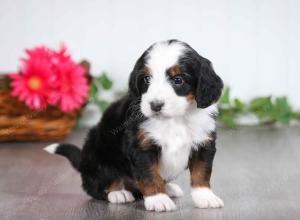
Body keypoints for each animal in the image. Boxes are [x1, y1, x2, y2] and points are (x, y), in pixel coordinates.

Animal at [44, 39, 223, 211]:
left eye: (178, 80)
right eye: (147, 79)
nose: (155, 105)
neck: (175, 120)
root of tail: (82, 161)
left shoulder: (204, 144)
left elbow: (202, 173)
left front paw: (206, 197)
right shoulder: (141, 146)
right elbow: (150, 175)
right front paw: (158, 199)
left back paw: (169, 188)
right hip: (99, 153)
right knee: (98, 186)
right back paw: (118, 193)